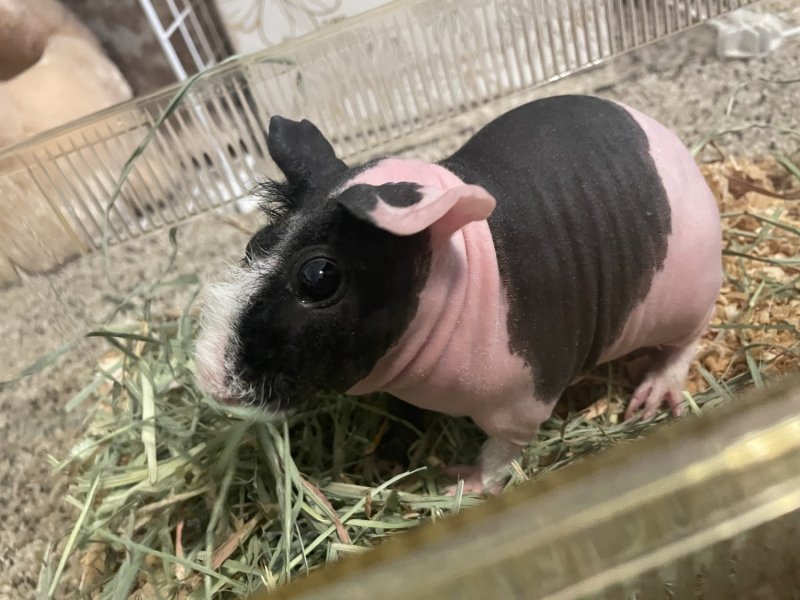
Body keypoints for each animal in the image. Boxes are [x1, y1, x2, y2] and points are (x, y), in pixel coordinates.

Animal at [195, 94, 722, 493]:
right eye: (256, 243)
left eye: (319, 277)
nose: (206, 376)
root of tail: (683, 157)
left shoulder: (522, 403)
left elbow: (501, 454)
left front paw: (458, 484)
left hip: (688, 306)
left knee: (684, 345)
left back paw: (652, 397)